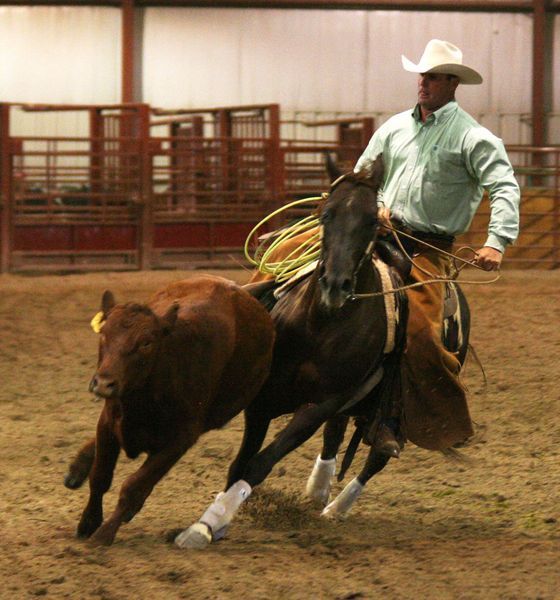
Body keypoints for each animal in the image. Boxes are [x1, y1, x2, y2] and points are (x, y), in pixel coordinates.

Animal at [64, 276, 274, 548]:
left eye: (146, 342)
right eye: (104, 334)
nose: (103, 383)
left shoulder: (179, 440)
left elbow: (134, 487)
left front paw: (104, 533)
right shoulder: (108, 422)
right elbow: (100, 476)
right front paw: (89, 521)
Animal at [175, 155, 412, 548]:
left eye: (371, 221)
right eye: (326, 214)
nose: (335, 285)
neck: (321, 325)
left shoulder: (321, 405)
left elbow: (260, 463)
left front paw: (205, 526)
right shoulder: (262, 399)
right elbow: (240, 463)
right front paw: (213, 521)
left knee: (375, 456)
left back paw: (335, 506)